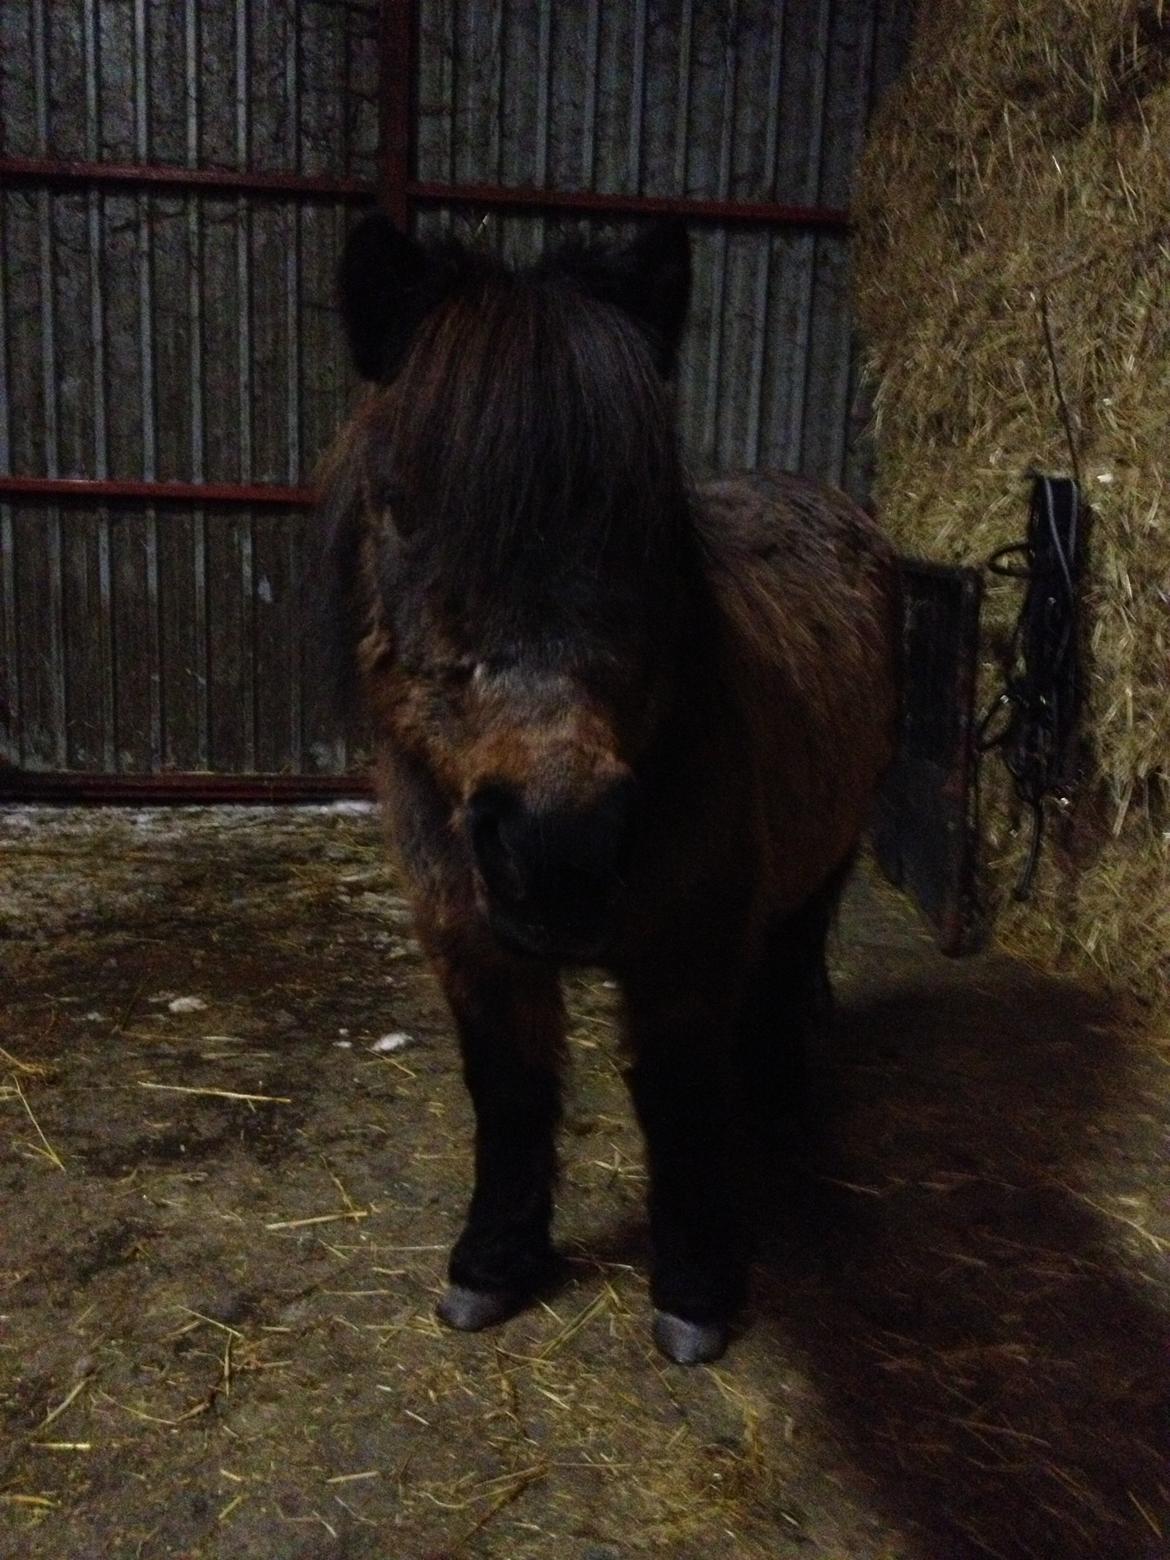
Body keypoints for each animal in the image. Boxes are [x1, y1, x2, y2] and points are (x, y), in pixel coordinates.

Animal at [317, 213, 899, 1364]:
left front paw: (698, 1287)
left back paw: (778, 1100)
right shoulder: (471, 939)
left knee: (789, 962)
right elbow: (508, 1093)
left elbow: (679, 1100)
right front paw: (494, 1265)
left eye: (645, 514)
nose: (557, 849)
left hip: (828, 853)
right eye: (400, 506)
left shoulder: (686, 949)